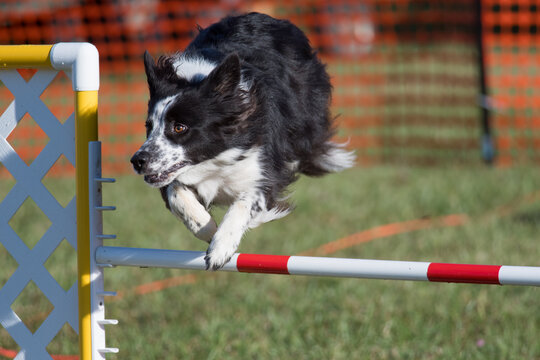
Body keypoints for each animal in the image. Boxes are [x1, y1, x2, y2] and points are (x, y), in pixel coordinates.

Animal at [132, 11, 354, 270]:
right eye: (149, 126)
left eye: (179, 127)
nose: (137, 161)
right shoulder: (170, 175)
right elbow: (177, 193)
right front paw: (208, 228)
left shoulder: (262, 170)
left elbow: (246, 201)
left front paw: (221, 247)